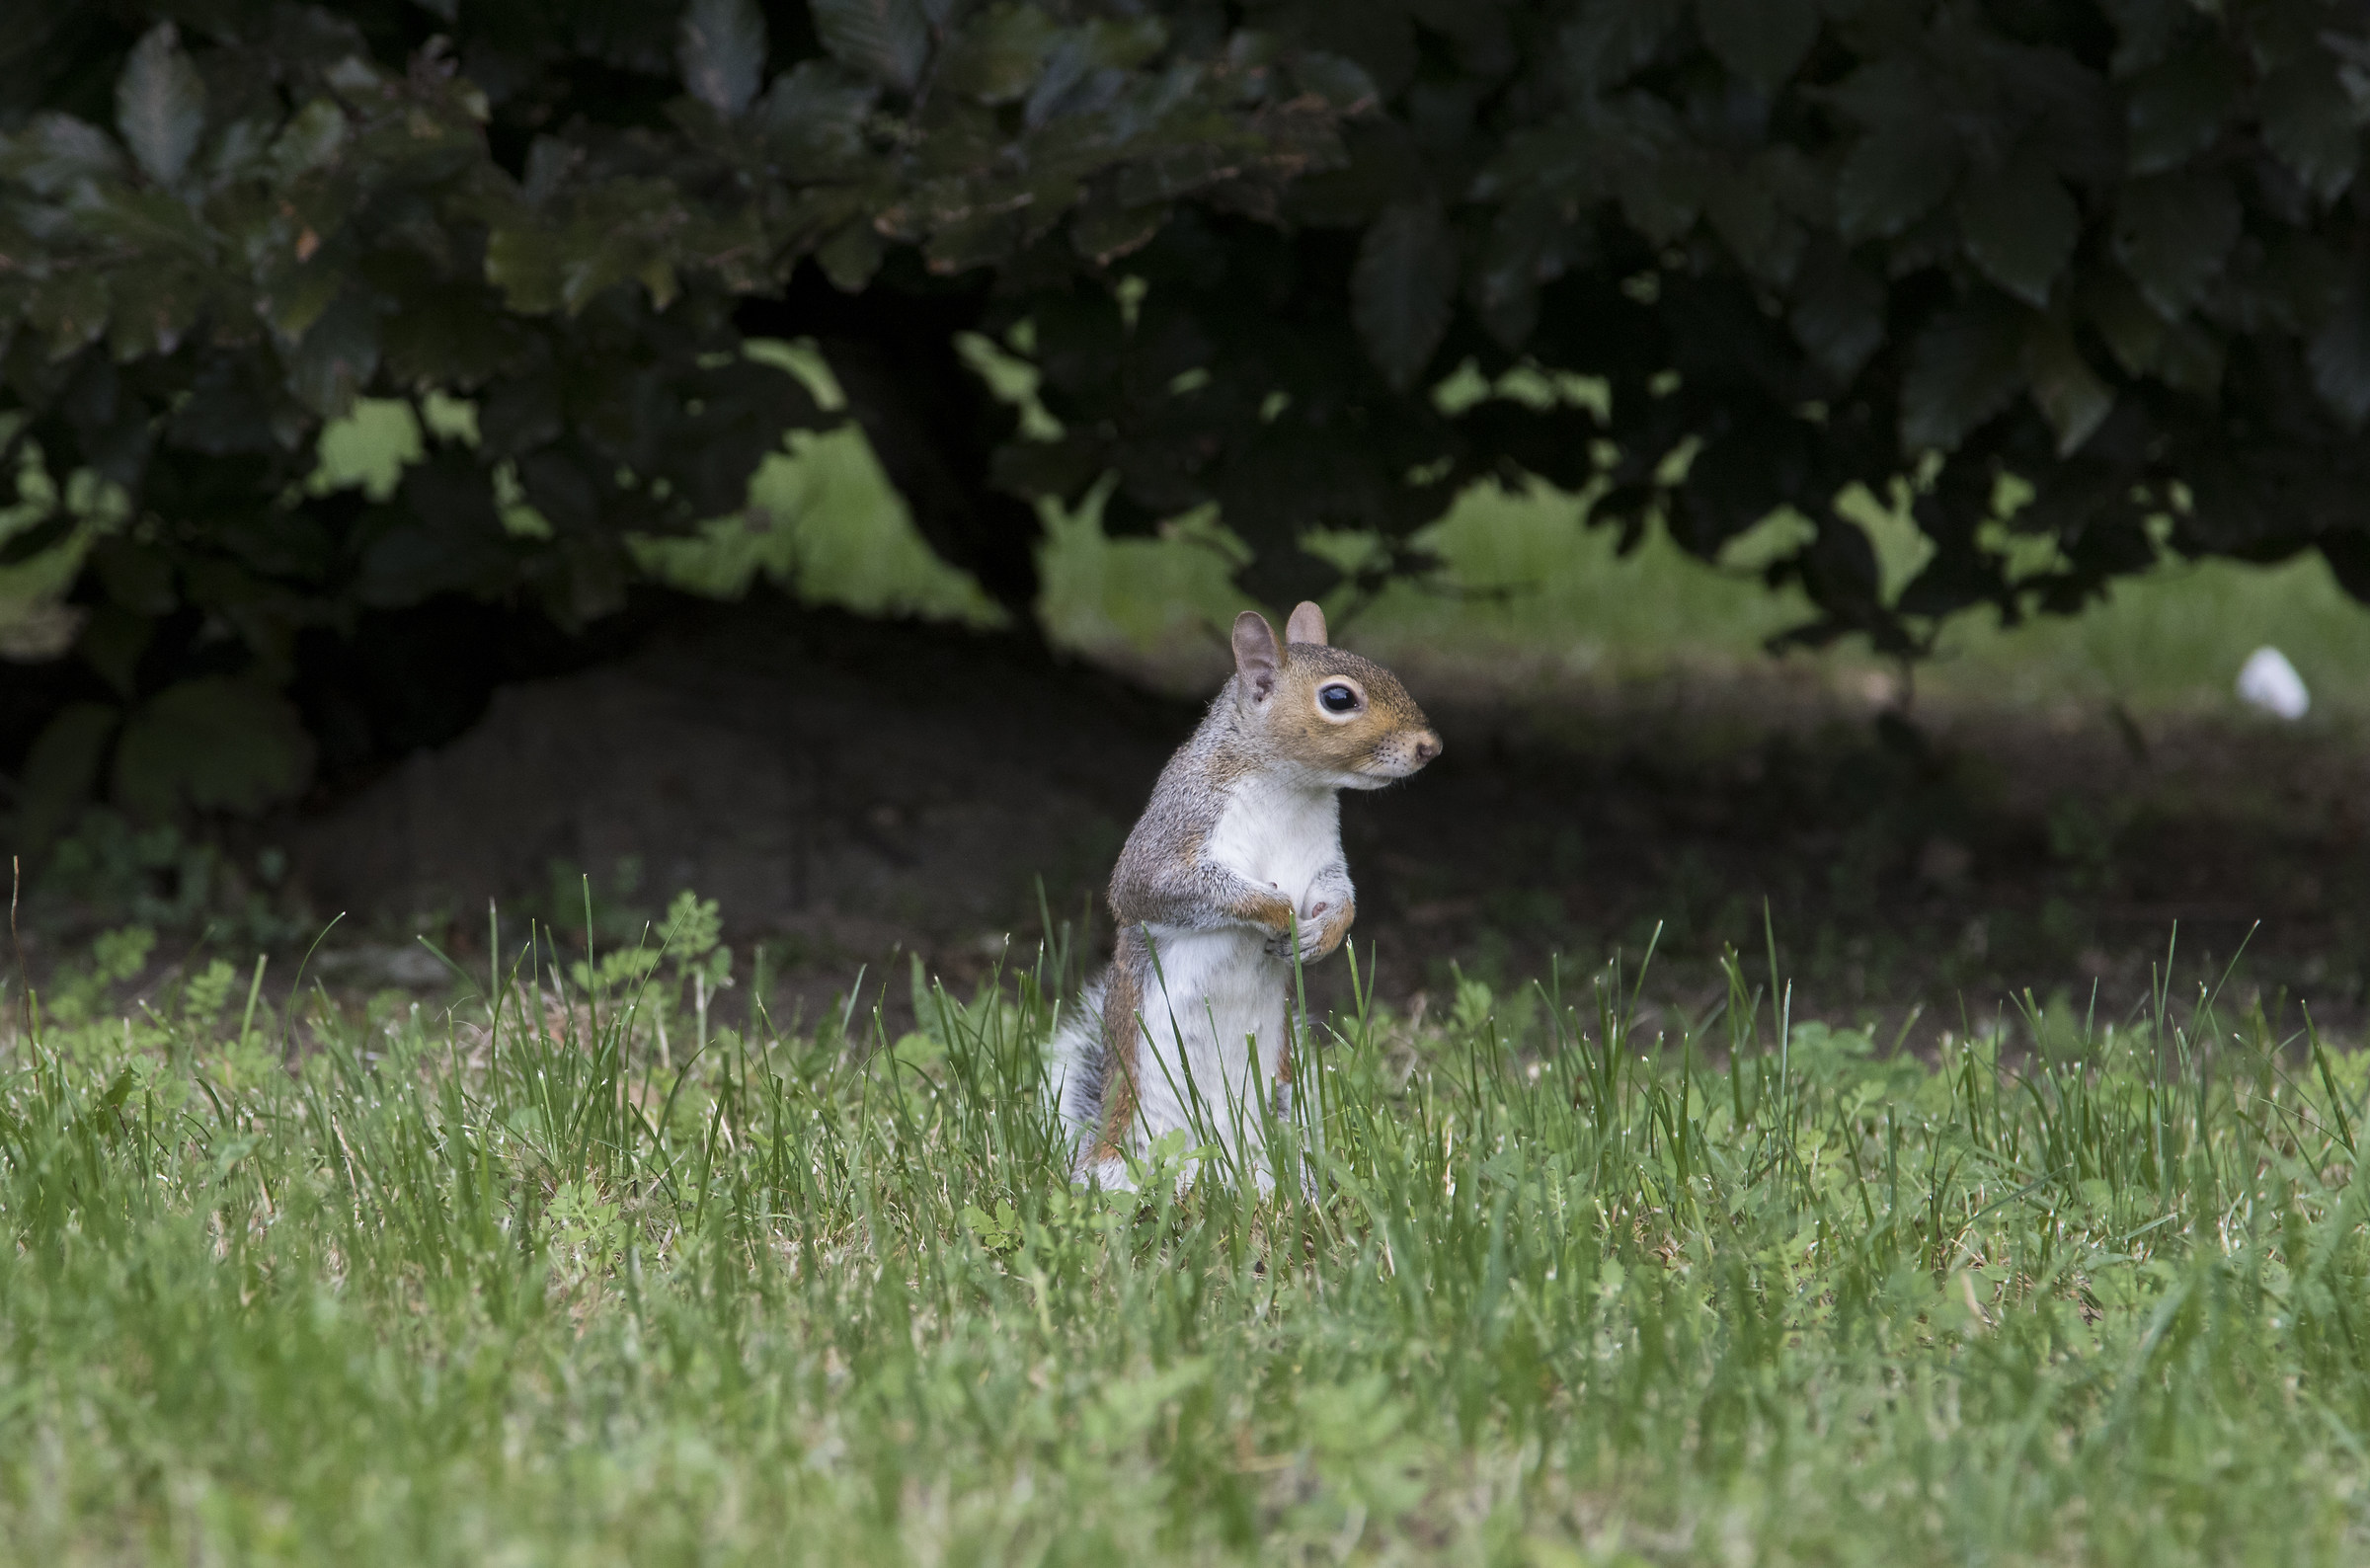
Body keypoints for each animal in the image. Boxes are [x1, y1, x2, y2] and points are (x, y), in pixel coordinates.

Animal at [1047, 601, 1441, 1190]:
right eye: (1338, 699)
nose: (1430, 747)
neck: (1290, 788)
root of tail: (1211, 1170)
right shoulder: (1179, 829)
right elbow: (1152, 889)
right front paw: (1276, 912)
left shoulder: (1322, 858)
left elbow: (1340, 896)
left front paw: (1321, 935)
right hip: (1134, 1130)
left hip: (1276, 1108)